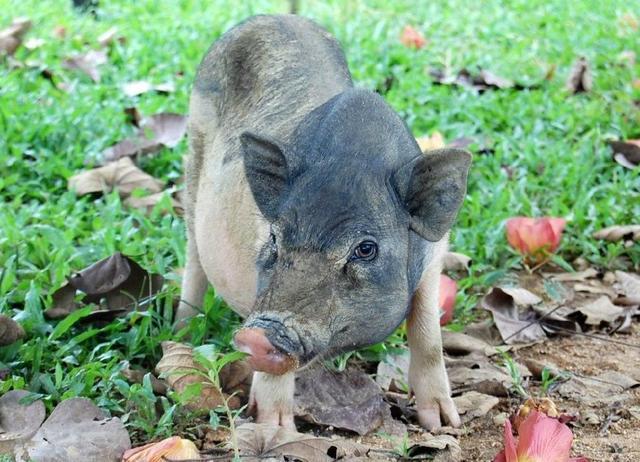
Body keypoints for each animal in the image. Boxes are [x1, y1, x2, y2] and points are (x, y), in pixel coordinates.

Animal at [178, 15, 472, 434]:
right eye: (274, 237)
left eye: (365, 249)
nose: (256, 336)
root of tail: (270, 17)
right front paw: (277, 431)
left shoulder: (434, 256)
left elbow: (428, 336)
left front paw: (444, 424)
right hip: (193, 147)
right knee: (193, 252)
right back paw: (182, 330)